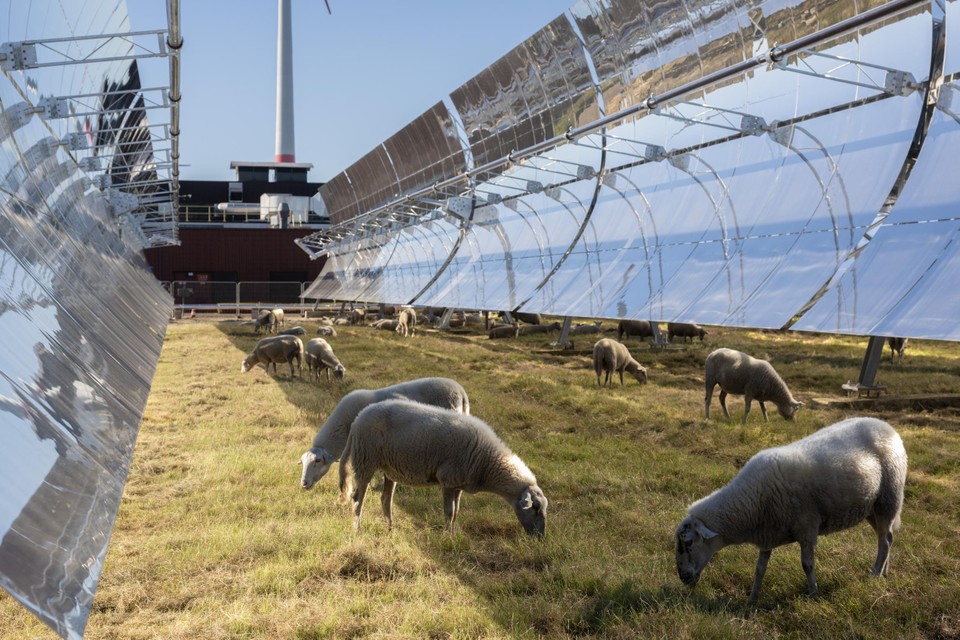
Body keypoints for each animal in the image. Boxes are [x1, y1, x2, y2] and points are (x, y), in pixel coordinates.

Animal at [338, 400, 548, 536]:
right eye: (535, 508)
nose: (540, 538)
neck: (487, 461)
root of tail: (357, 420)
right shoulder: (448, 480)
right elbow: (449, 511)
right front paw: (446, 536)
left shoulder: (458, 484)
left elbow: (456, 512)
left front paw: (452, 533)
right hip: (365, 460)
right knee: (358, 499)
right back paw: (356, 530)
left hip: (389, 468)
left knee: (385, 499)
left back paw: (390, 529)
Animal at [676, 418, 908, 604]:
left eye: (689, 543)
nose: (683, 578)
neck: (751, 502)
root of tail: (886, 426)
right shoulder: (767, 533)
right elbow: (760, 568)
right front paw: (752, 599)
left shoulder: (806, 528)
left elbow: (807, 565)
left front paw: (814, 595)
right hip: (872, 507)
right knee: (885, 538)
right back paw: (884, 572)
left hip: (888, 498)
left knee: (885, 541)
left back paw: (875, 575)